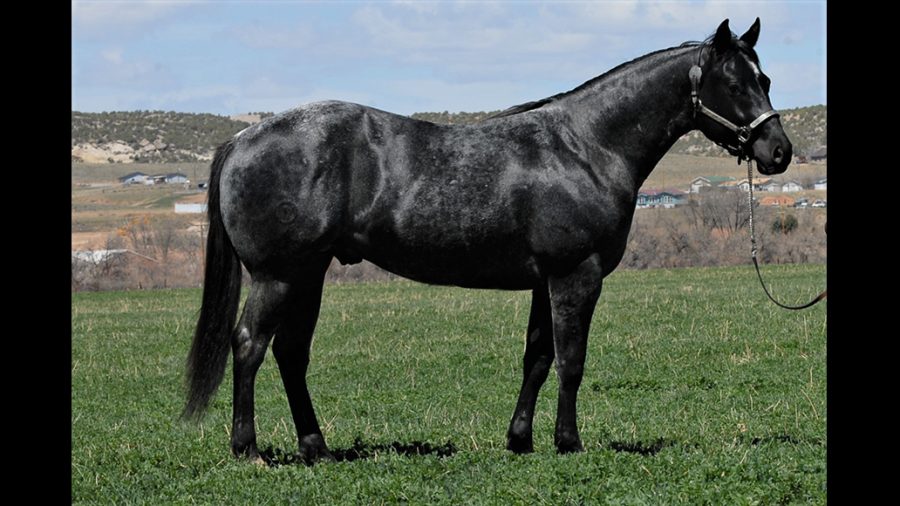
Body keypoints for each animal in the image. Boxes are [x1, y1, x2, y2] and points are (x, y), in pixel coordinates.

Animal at [183, 18, 792, 462]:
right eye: (733, 83)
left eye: (765, 80)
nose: (778, 152)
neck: (585, 147)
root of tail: (243, 137)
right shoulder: (577, 275)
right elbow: (572, 361)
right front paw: (569, 443)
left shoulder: (546, 280)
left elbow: (538, 358)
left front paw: (520, 440)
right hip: (279, 276)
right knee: (250, 345)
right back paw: (248, 450)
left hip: (308, 274)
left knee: (290, 353)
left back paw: (317, 449)